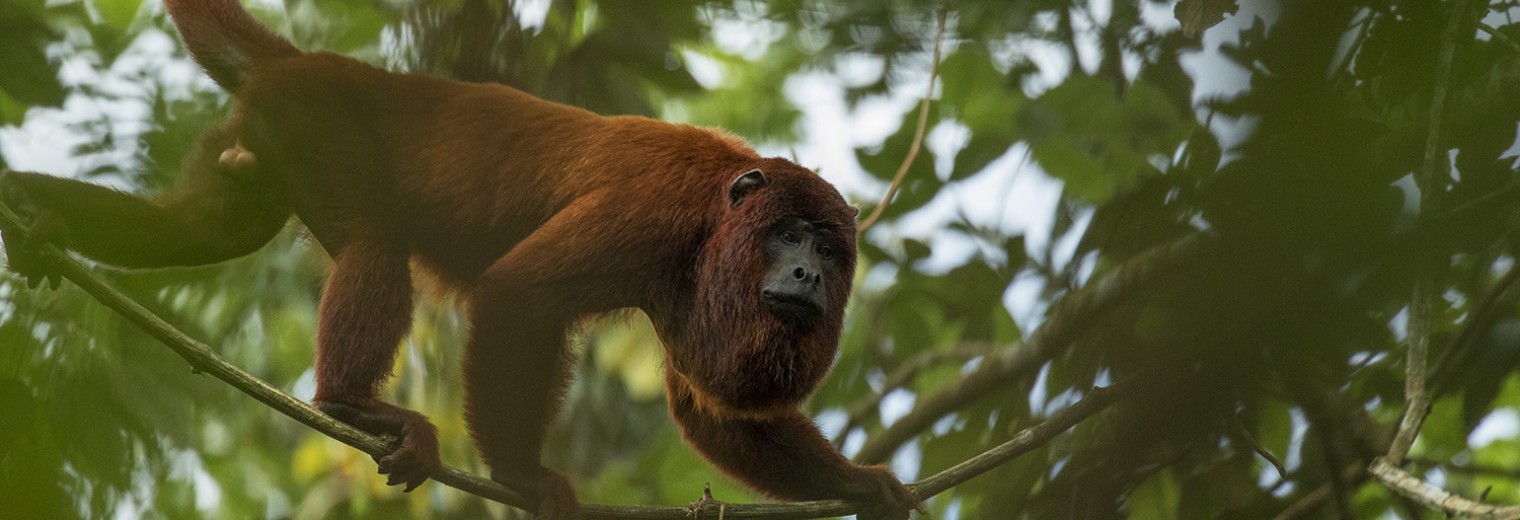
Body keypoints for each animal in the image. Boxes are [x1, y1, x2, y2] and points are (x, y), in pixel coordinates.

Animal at [0, 1, 918, 520]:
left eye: (830, 249)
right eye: (788, 234)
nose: (808, 276)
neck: (720, 210)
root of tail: (309, 64)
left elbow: (710, 408)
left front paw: (858, 483)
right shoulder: (650, 213)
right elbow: (520, 294)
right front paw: (523, 475)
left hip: (256, 146)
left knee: (196, 231)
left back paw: (32, 212)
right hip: (318, 122)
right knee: (374, 239)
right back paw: (353, 404)